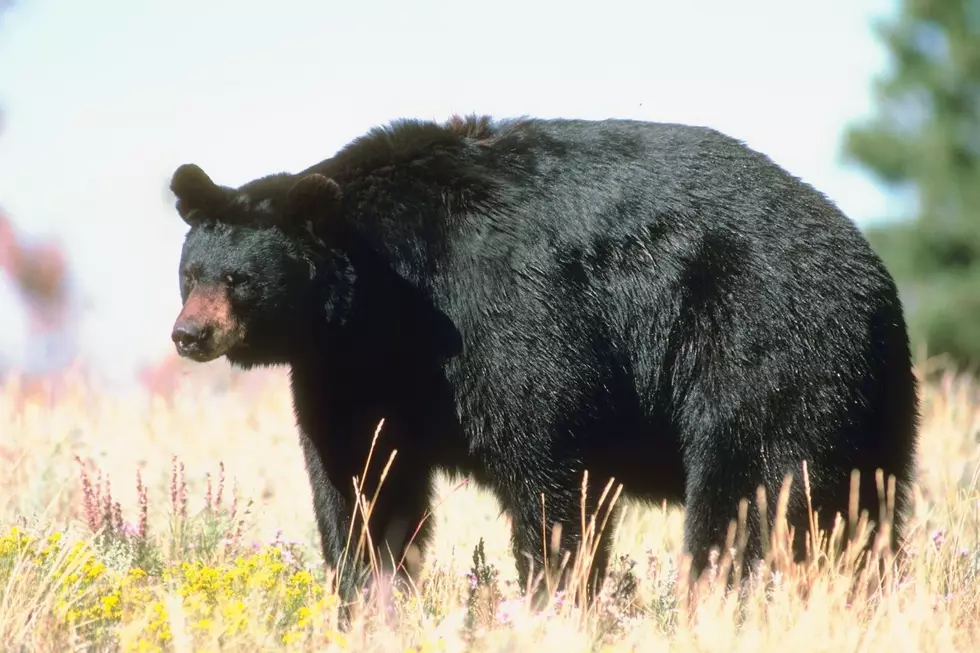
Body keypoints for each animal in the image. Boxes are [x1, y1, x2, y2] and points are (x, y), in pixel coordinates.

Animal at [168, 114, 920, 608]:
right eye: (190, 272)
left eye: (239, 280)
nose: (189, 334)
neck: (380, 302)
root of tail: (872, 271)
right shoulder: (351, 374)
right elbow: (360, 478)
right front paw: (366, 594)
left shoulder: (498, 316)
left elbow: (546, 457)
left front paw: (552, 592)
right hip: (870, 398)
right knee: (862, 507)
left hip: (762, 344)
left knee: (755, 487)